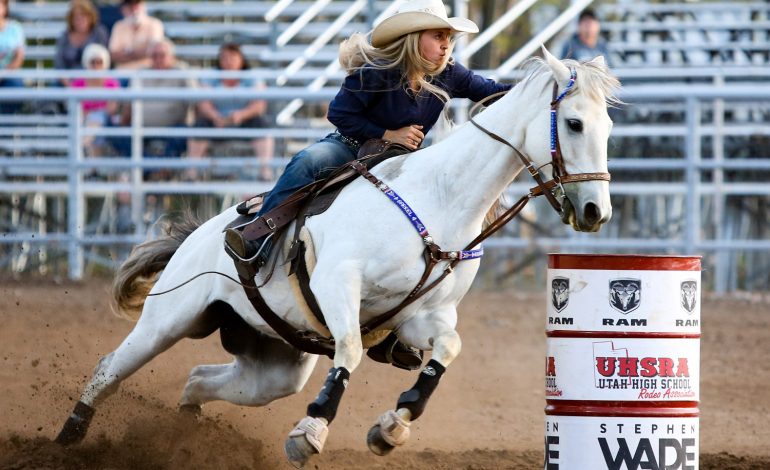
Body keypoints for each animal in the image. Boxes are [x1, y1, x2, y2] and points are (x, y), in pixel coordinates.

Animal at [54, 49, 616, 468]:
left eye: (608, 126)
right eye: (573, 123)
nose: (596, 211)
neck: (440, 198)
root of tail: (201, 235)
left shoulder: (422, 317)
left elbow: (447, 350)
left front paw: (393, 426)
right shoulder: (339, 284)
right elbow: (347, 350)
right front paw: (310, 431)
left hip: (274, 366)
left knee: (198, 380)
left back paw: (184, 436)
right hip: (169, 319)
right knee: (109, 369)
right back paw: (67, 438)